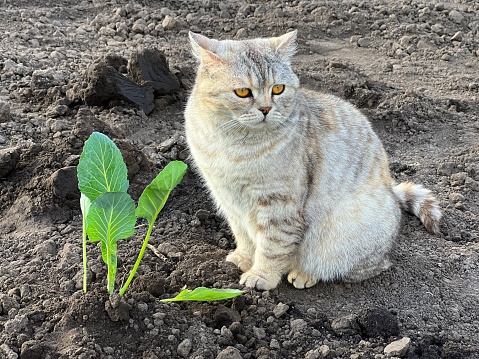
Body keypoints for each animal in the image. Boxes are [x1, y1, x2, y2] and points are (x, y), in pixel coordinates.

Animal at [184, 29, 442, 292]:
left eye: (278, 89)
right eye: (243, 92)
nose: (266, 109)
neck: (231, 144)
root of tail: (390, 190)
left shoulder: (279, 204)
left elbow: (273, 245)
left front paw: (262, 275)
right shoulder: (228, 199)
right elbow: (243, 235)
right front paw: (243, 258)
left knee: (363, 266)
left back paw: (305, 273)